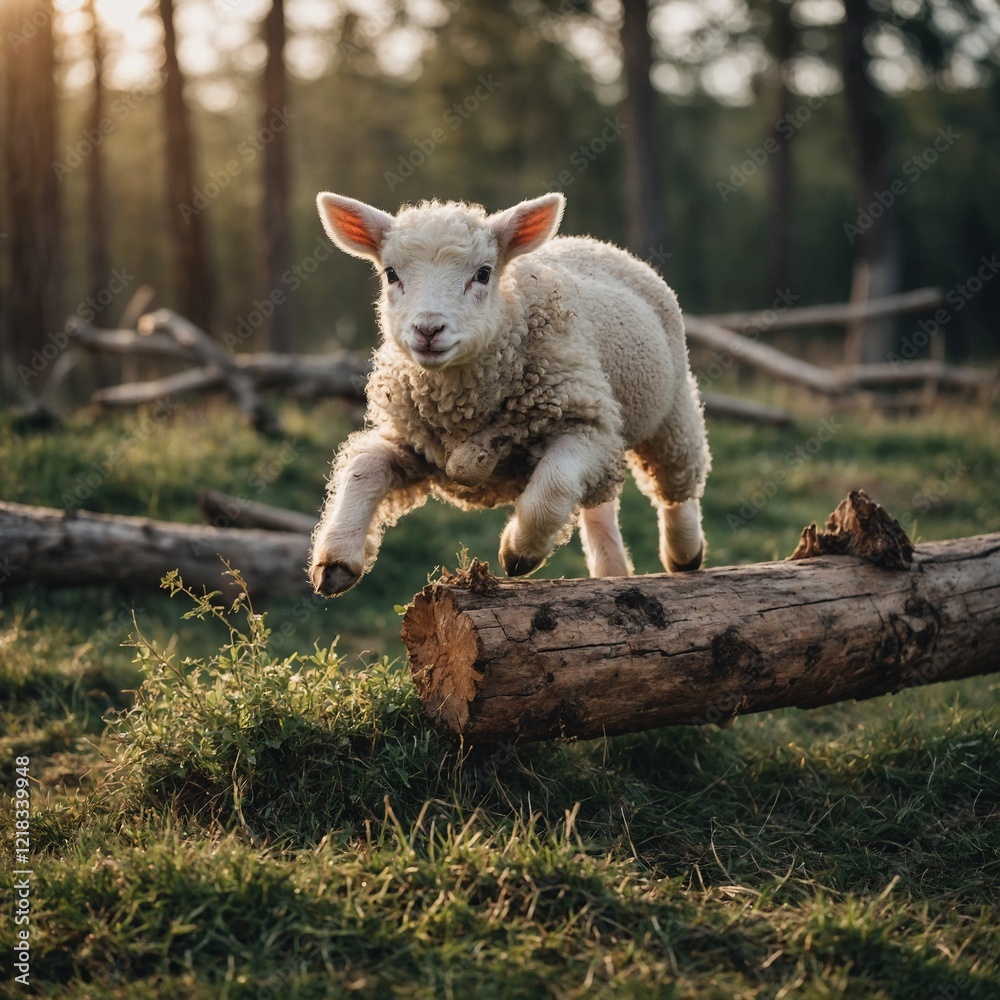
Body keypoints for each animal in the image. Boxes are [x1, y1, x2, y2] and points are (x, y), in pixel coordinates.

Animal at [308, 192, 710, 597]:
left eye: (483, 273)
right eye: (391, 273)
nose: (428, 329)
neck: (459, 405)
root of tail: (595, 243)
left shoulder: (587, 424)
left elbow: (552, 487)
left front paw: (519, 552)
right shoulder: (414, 441)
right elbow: (364, 467)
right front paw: (336, 559)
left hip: (672, 407)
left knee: (678, 484)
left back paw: (684, 554)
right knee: (599, 503)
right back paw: (612, 571)